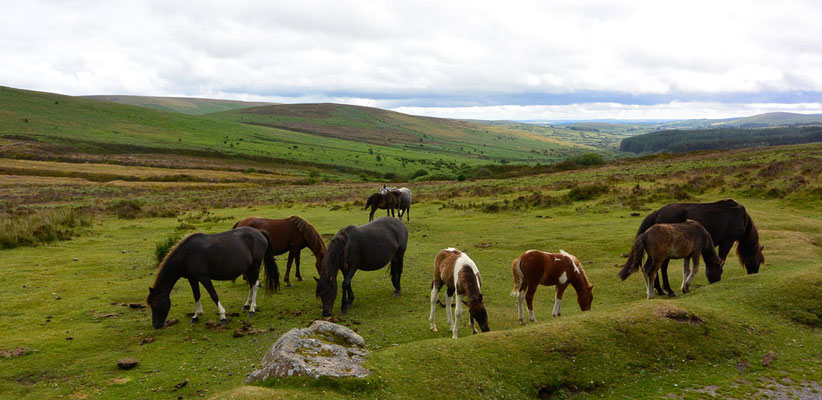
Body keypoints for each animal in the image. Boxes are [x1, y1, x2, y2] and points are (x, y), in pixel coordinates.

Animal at [150, 228, 284, 328]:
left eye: (155, 304)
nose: (156, 325)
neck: (187, 255)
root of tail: (259, 232)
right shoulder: (192, 278)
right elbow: (196, 295)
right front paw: (196, 316)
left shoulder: (204, 277)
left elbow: (214, 295)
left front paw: (222, 316)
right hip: (249, 268)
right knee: (251, 284)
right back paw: (246, 305)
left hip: (255, 265)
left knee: (255, 285)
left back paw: (252, 309)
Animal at [636, 198, 768, 296]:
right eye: (758, 261)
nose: (753, 273)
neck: (741, 216)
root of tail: (657, 212)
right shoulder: (727, 241)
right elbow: (721, 259)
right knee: (662, 267)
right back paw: (668, 290)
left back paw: (659, 290)